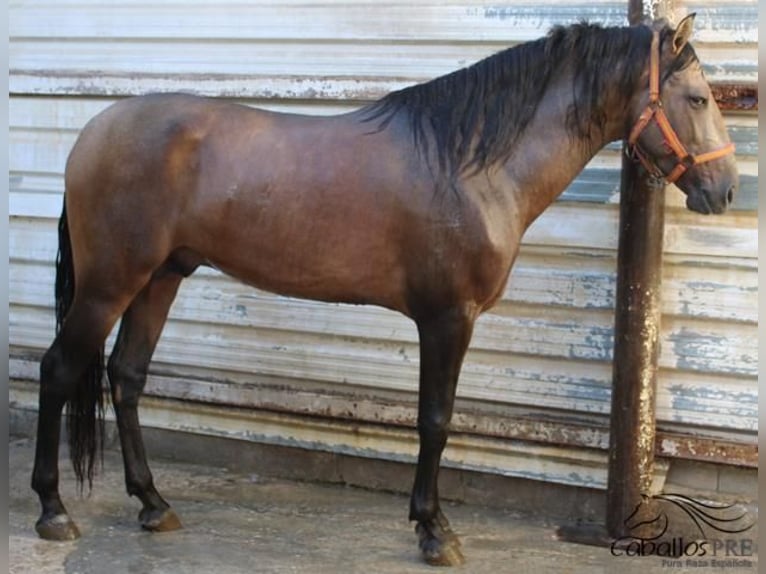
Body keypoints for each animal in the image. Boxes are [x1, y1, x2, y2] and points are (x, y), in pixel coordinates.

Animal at [33, 13, 740, 568]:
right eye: (698, 99)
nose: (727, 189)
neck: (472, 164)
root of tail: (94, 132)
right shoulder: (448, 318)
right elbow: (435, 420)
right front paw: (434, 531)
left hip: (160, 277)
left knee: (126, 377)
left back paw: (153, 504)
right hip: (110, 284)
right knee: (59, 369)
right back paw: (52, 509)